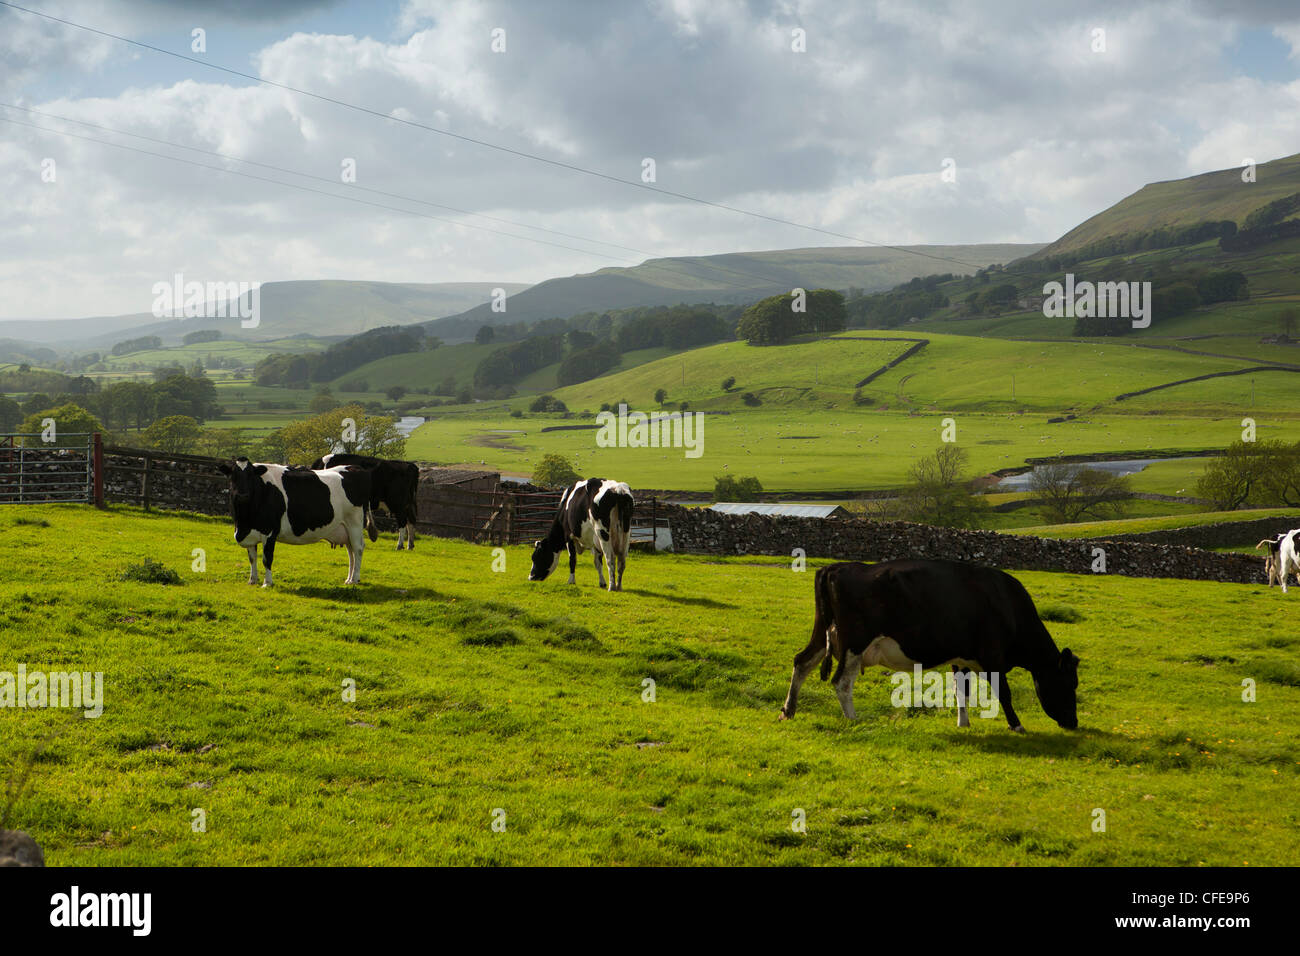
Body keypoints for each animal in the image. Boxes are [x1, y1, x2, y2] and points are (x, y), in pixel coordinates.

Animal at [220, 460, 374, 587]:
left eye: (251, 476)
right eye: (233, 476)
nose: (242, 495)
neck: (244, 521)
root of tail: (354, 467)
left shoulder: (270, 532)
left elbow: (267, 558)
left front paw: (267, 583)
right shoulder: (250, 532)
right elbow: (252, 558)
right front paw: (252, 580)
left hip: (355, 522)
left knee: (358, 548)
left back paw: (355, 579)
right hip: (345, 528)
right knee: (351, 551)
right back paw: (349, 579)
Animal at [780, 561, 1076, 733]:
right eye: (1069, 683)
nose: (1073, 723)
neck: (1008, 604)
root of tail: (835, 567)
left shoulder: (962, 657)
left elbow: (962, 691)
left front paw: (963, 723)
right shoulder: (993, 655)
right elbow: (1004, 692)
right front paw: (1016, 725)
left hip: (822, 634)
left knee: (801, 662)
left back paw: (788, 711)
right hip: (855, 642)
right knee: (841, 681)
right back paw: (853, 720)